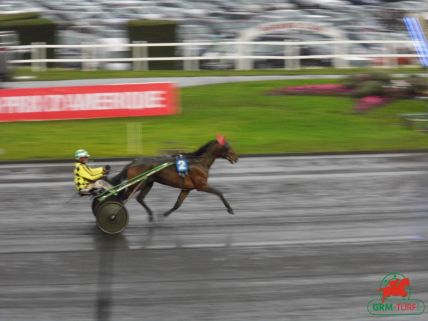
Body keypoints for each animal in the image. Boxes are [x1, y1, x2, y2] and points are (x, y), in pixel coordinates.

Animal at [109, 134, 237, 220]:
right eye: (228, 147)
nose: (236, 158)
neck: (199, 162)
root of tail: (133, 162)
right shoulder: (201, 185)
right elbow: (219, 193)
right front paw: (230, 209)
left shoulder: (186, 188)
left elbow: (177, 204)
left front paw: (165, 214)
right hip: (136, 183)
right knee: (122, 198)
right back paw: (113, 214)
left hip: (148, 183)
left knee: (139, 198)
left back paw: (151, 215)